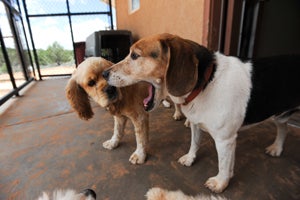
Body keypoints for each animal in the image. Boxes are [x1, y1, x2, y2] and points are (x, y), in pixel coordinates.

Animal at [103, 33, 300, 193]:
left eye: (135, 55)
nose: (104, 73)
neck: (207, 82)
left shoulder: (225, 140)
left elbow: (224, 164)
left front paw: (221, 183)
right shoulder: (196, 125)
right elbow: (194, 144)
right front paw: (190, 158)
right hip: (280, 117)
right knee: (283, 129)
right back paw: (276, 148)